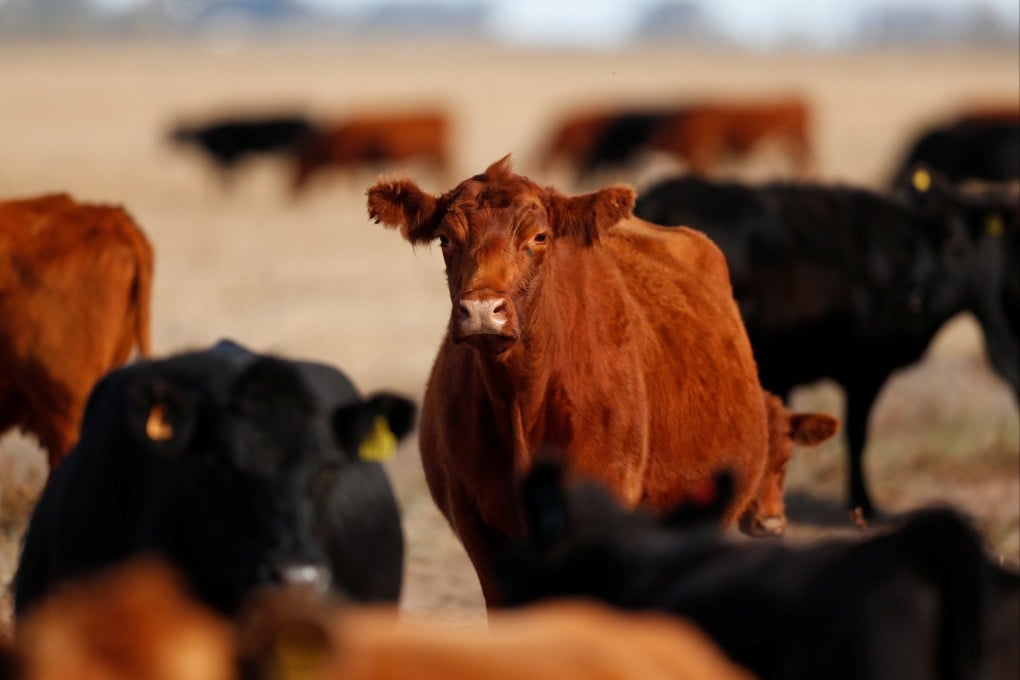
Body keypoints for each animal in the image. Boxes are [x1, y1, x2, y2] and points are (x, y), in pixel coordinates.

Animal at [634, 170, 1019, 517]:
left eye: (955, 245)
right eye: (912, 246)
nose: (912, 297)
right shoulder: (865, 371)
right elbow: (856, 435)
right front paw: (864, 504)